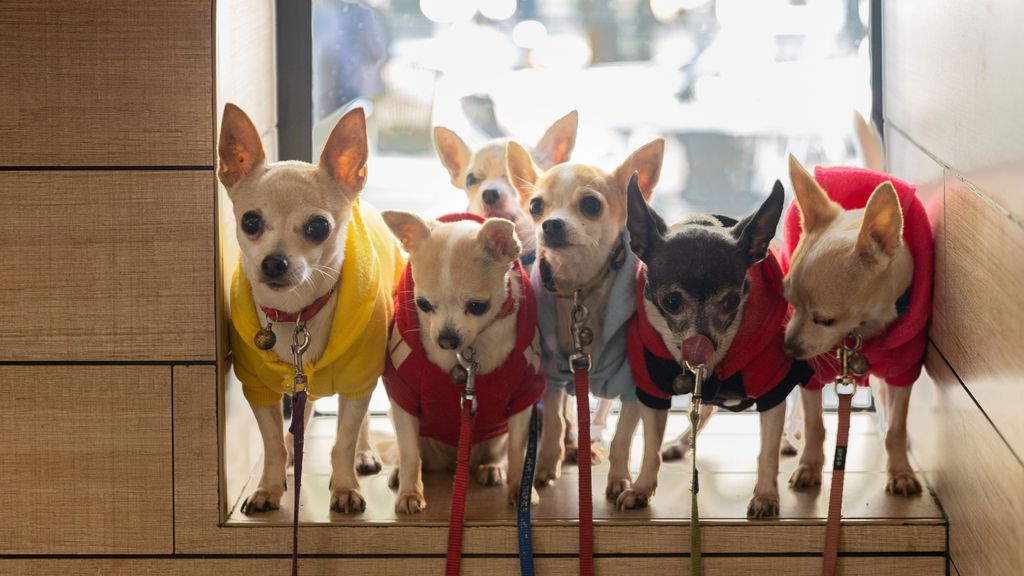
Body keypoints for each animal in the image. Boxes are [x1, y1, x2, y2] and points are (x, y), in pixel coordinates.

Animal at [220, 101, 403, 510]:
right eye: (250, 221)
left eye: (318, 227)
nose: (274, 262)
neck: (298, 313)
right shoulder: (259, 389)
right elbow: (272, 442)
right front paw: (269, 487)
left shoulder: (358, 380)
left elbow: (345, 438)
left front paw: (345, 487)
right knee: (299, 416)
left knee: (360, 421)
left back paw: (365, 454)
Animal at [382, 211, 544, 510]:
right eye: (422, 304)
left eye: (477, 307)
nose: (446, 339)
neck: (470, 351)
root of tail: (450, 464)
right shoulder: (403, 399)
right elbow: (409, 454)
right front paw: (410, 493)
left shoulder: (522, 399)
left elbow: (518, 450)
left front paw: (520, 490)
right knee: (412, 454)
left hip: (495, 435)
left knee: (496, 452)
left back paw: (491, 468)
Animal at [507, 136, 667, 496]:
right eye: (536, 206)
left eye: (592, 205)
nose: (551, 224)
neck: (580, 289)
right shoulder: (552, 375)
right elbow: (554, 422)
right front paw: (545, 466)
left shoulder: (632, 383)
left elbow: (623, 435)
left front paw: (620, 478)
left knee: (601, 416)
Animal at [622, 172, 806, 512]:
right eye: (671, 301)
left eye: (732, 301)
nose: (702, 344)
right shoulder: (653, 388)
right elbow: (650, 446)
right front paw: (641, 487)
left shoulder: (772, 386)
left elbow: (767, 451)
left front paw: (765, 495)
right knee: (703, 410)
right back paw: (682, 443)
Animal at [778, 155, 933, 494]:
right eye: (789, 303)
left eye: (826, 320)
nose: (788, 348)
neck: (862, 330)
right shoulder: (812, 373)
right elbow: (815, 423)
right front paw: (810, 465)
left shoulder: (902, 372)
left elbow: (897, 427)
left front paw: (900, 470)